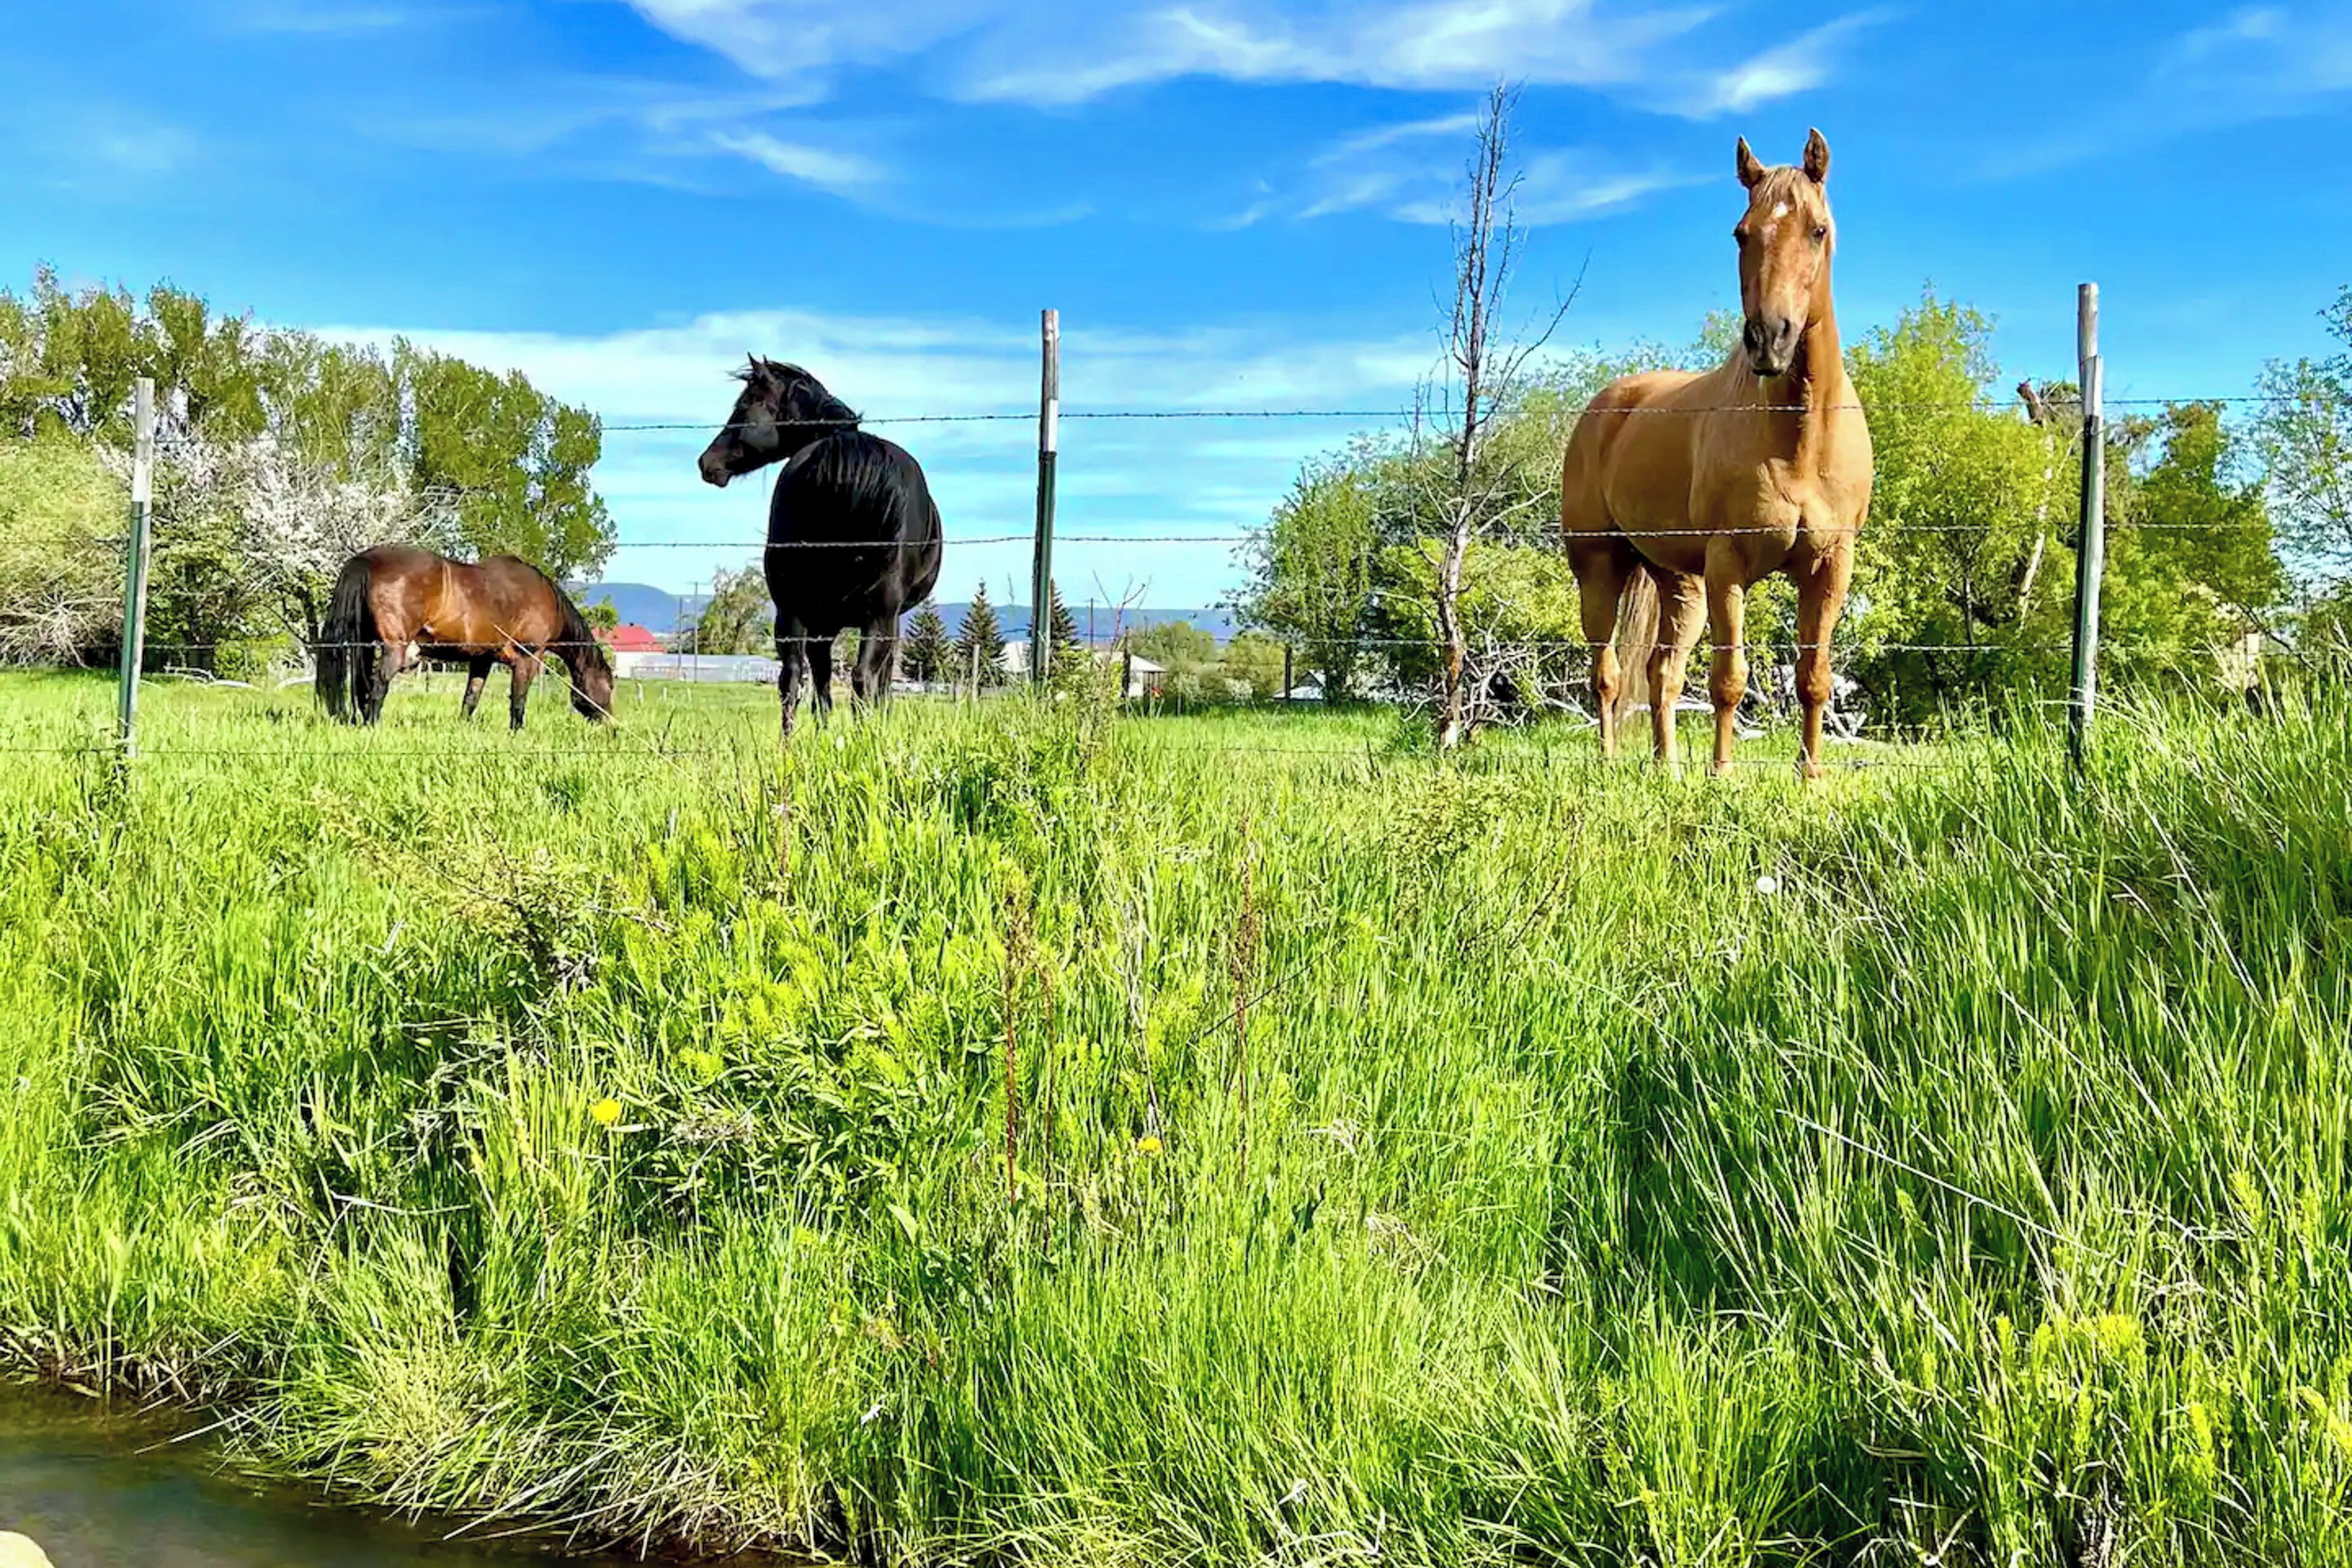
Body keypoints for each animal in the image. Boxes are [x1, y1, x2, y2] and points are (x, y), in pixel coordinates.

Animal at [313, 545, 615, 729]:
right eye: (609, 687)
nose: (612, 727)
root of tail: (368, 559)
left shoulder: (482, 660)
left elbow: (471, 698)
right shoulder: (527, 660)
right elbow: (518, 701)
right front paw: (517, 733)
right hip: (394, 650)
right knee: (378, 685)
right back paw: (373, 726)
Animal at [696, 357, 944, 737]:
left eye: (742, 407)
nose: (707, 463)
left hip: (798, 611)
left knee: (795, 679)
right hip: (870, 614)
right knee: (861, 679)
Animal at [1560, 128, 1873, 779]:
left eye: (1818, 229)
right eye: (1741, 233)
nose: (1769, 339)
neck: (1800, 441)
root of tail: (1607, 405)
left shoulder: (1830, 566)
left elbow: (1814, 676)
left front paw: (1811, 776)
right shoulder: (1731, 562)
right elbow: (1730, 676)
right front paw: (1723, 774)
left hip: (1681, 585)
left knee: (1661, 673)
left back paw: (1669, 769)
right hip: (1599, 567)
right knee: (1606, 673)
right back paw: (1610, 761)